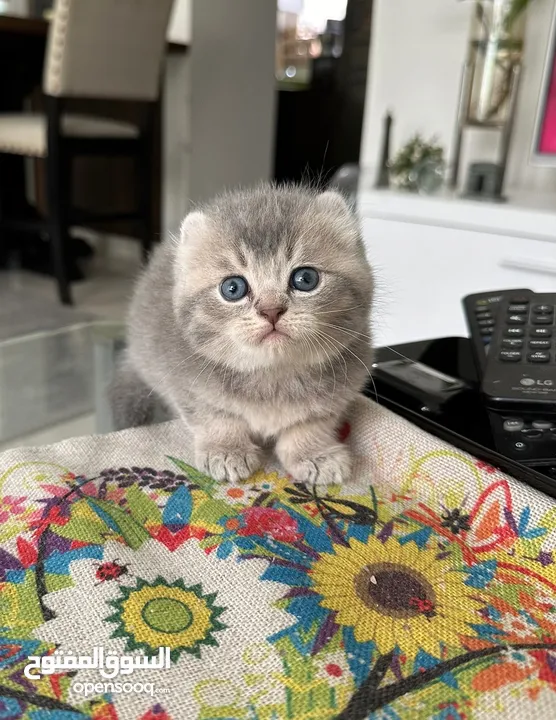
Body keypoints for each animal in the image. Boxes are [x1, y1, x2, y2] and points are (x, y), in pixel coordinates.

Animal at [112, 183, 374, 486]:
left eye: (305, 279)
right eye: (233, 288)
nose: (271, 310)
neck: (272, 376)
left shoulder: (340, 390)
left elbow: (311, 422)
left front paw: (313, 453)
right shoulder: (185, 383)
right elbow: (215, 416)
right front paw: (226, 449)